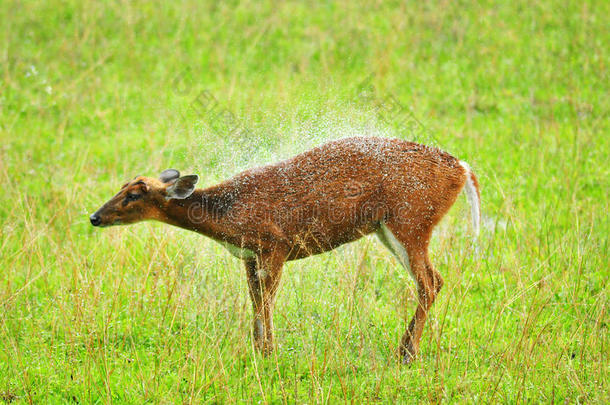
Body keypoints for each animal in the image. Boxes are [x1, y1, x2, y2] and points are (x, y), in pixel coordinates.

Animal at [90, 137, 480, 362]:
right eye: (122, 185)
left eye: (135, 194)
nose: (94, 217)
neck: (228, 216)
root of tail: (462, 168)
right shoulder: (249, 255)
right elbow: (254, 298)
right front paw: (258, 348)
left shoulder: (275, 244)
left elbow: (267, 299)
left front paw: (269, 352)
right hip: (393, 226)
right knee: (434, 280)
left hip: (411, 220)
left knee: (429, 281)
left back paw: (406, 354)